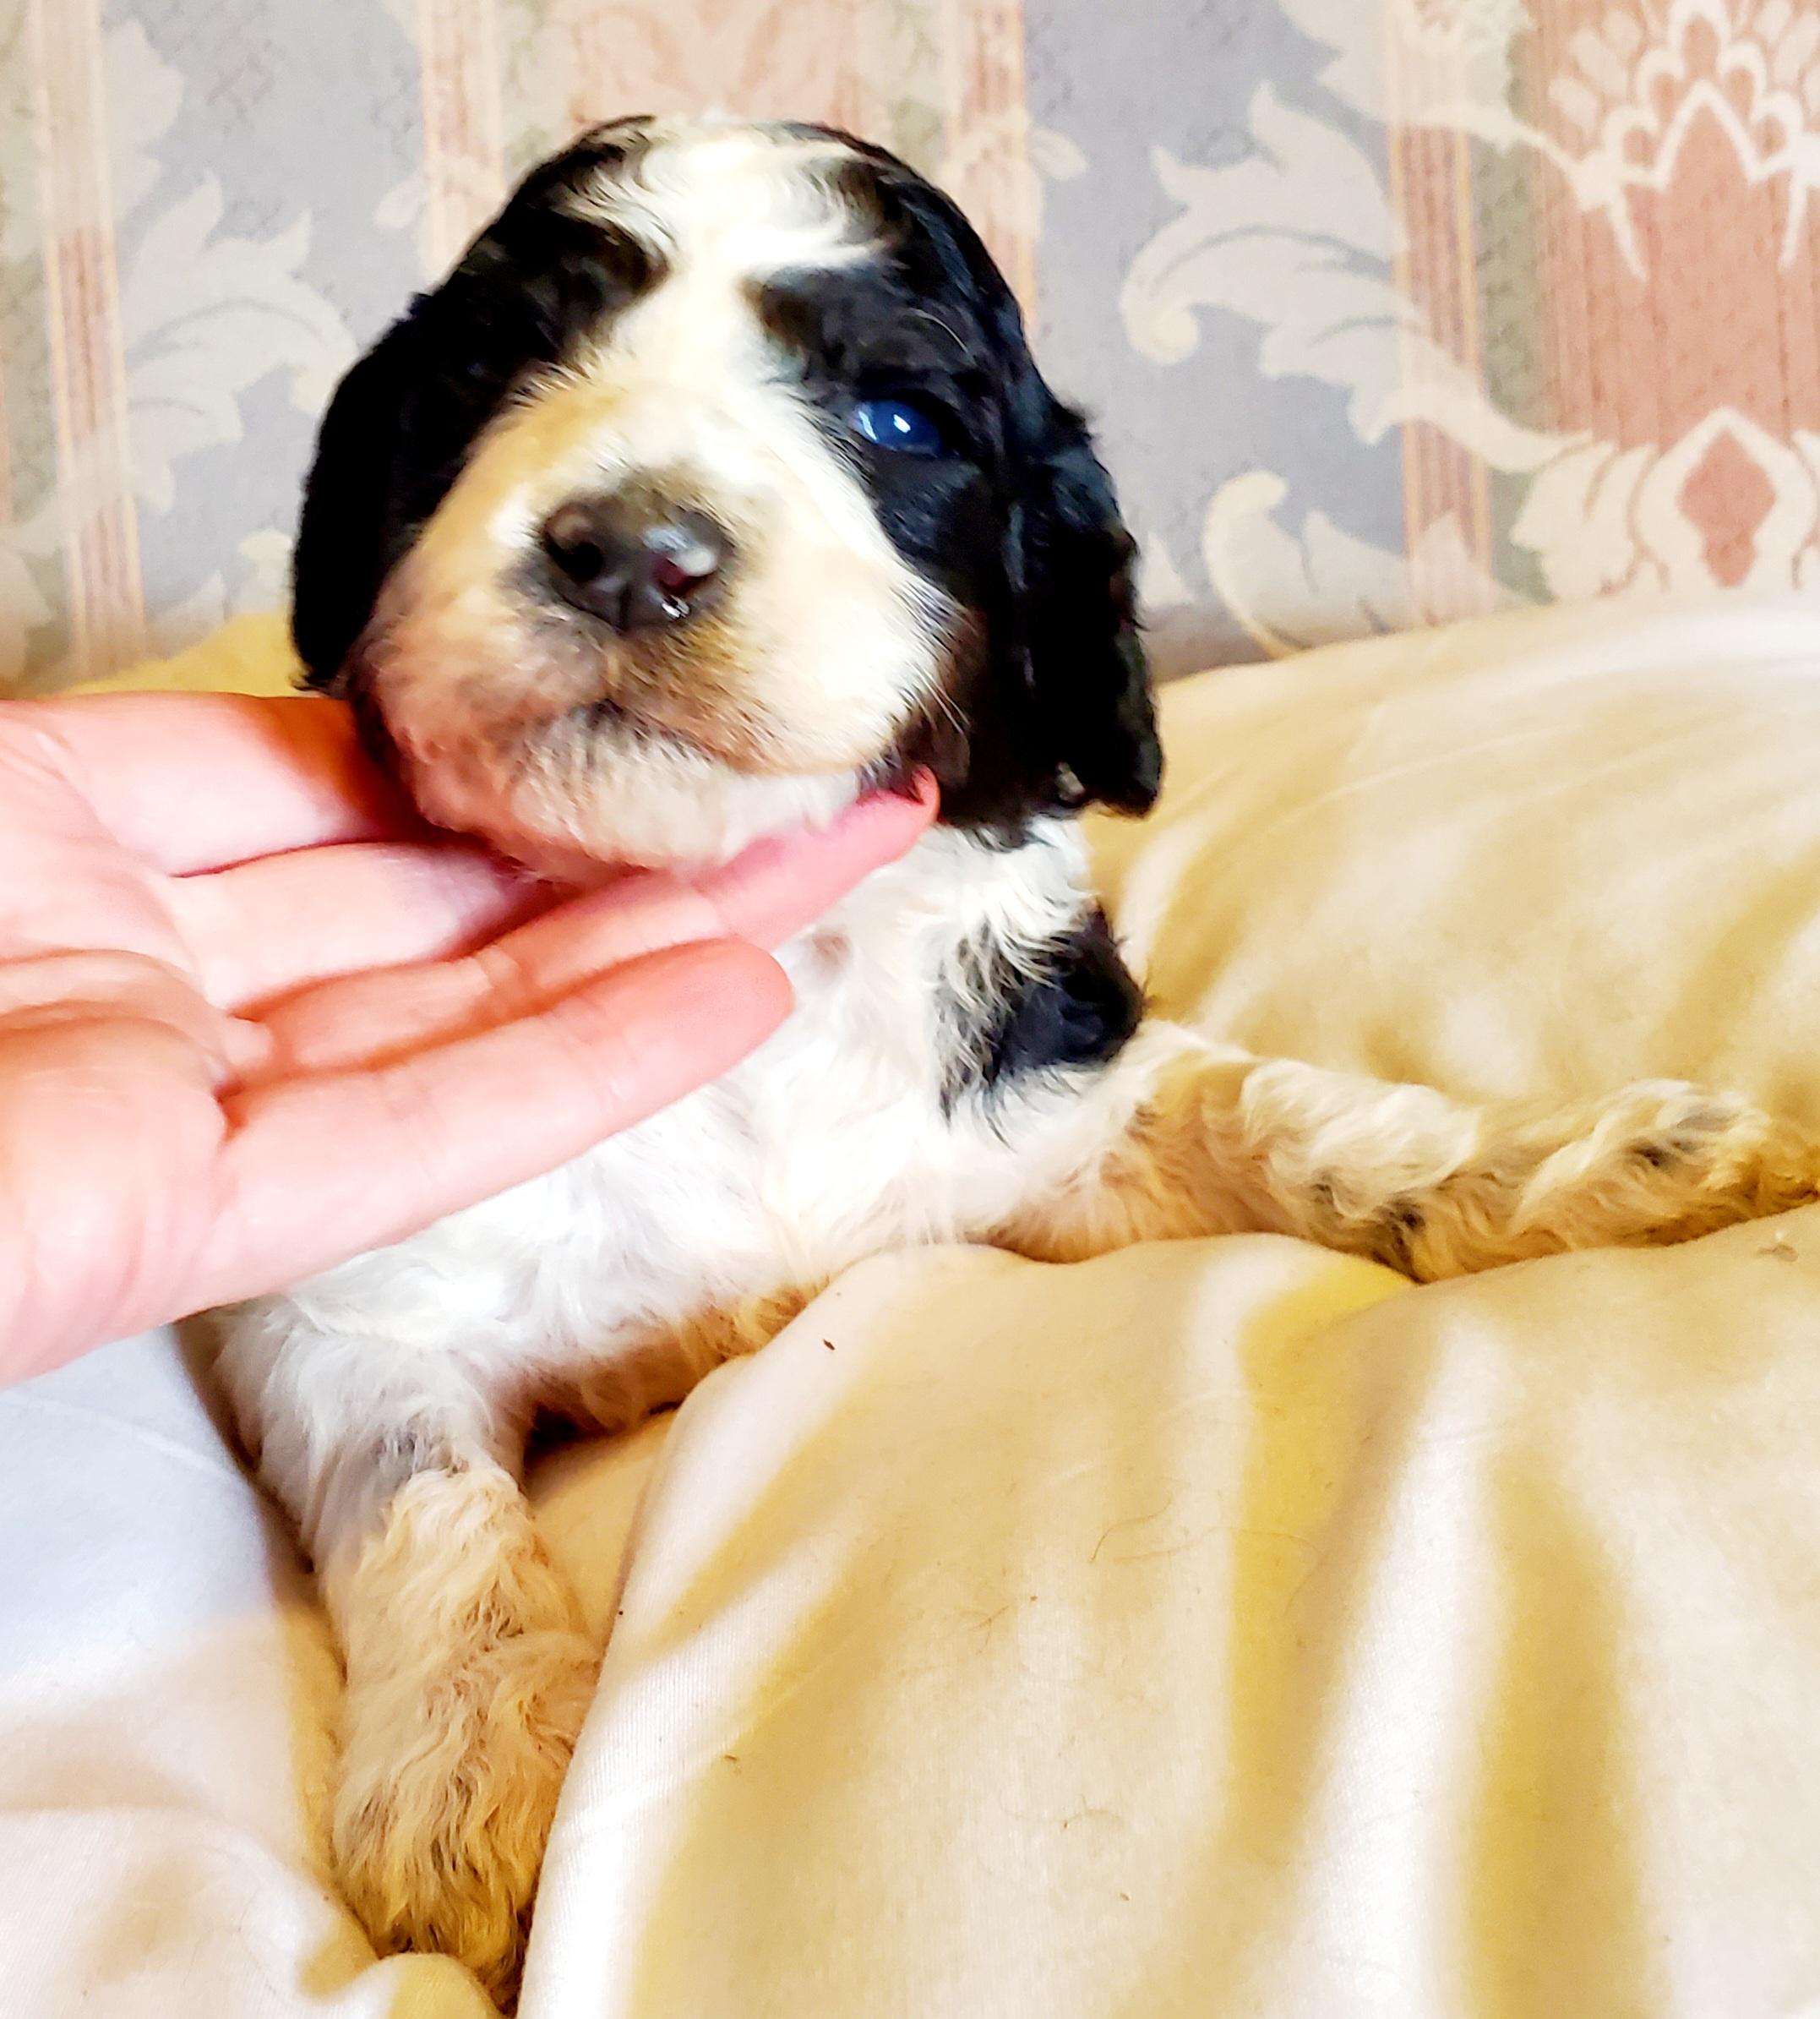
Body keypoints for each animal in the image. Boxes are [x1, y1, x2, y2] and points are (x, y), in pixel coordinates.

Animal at [216, 115, 1819, 1998]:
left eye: (901, 420)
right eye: (498, 364)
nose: (630, 549)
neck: (744, 937)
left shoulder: (1035, 1096)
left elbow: (1291, 1116)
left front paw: (1610, 1161)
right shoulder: (346, 1303)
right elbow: (425, 1492)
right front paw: (463, 1771)